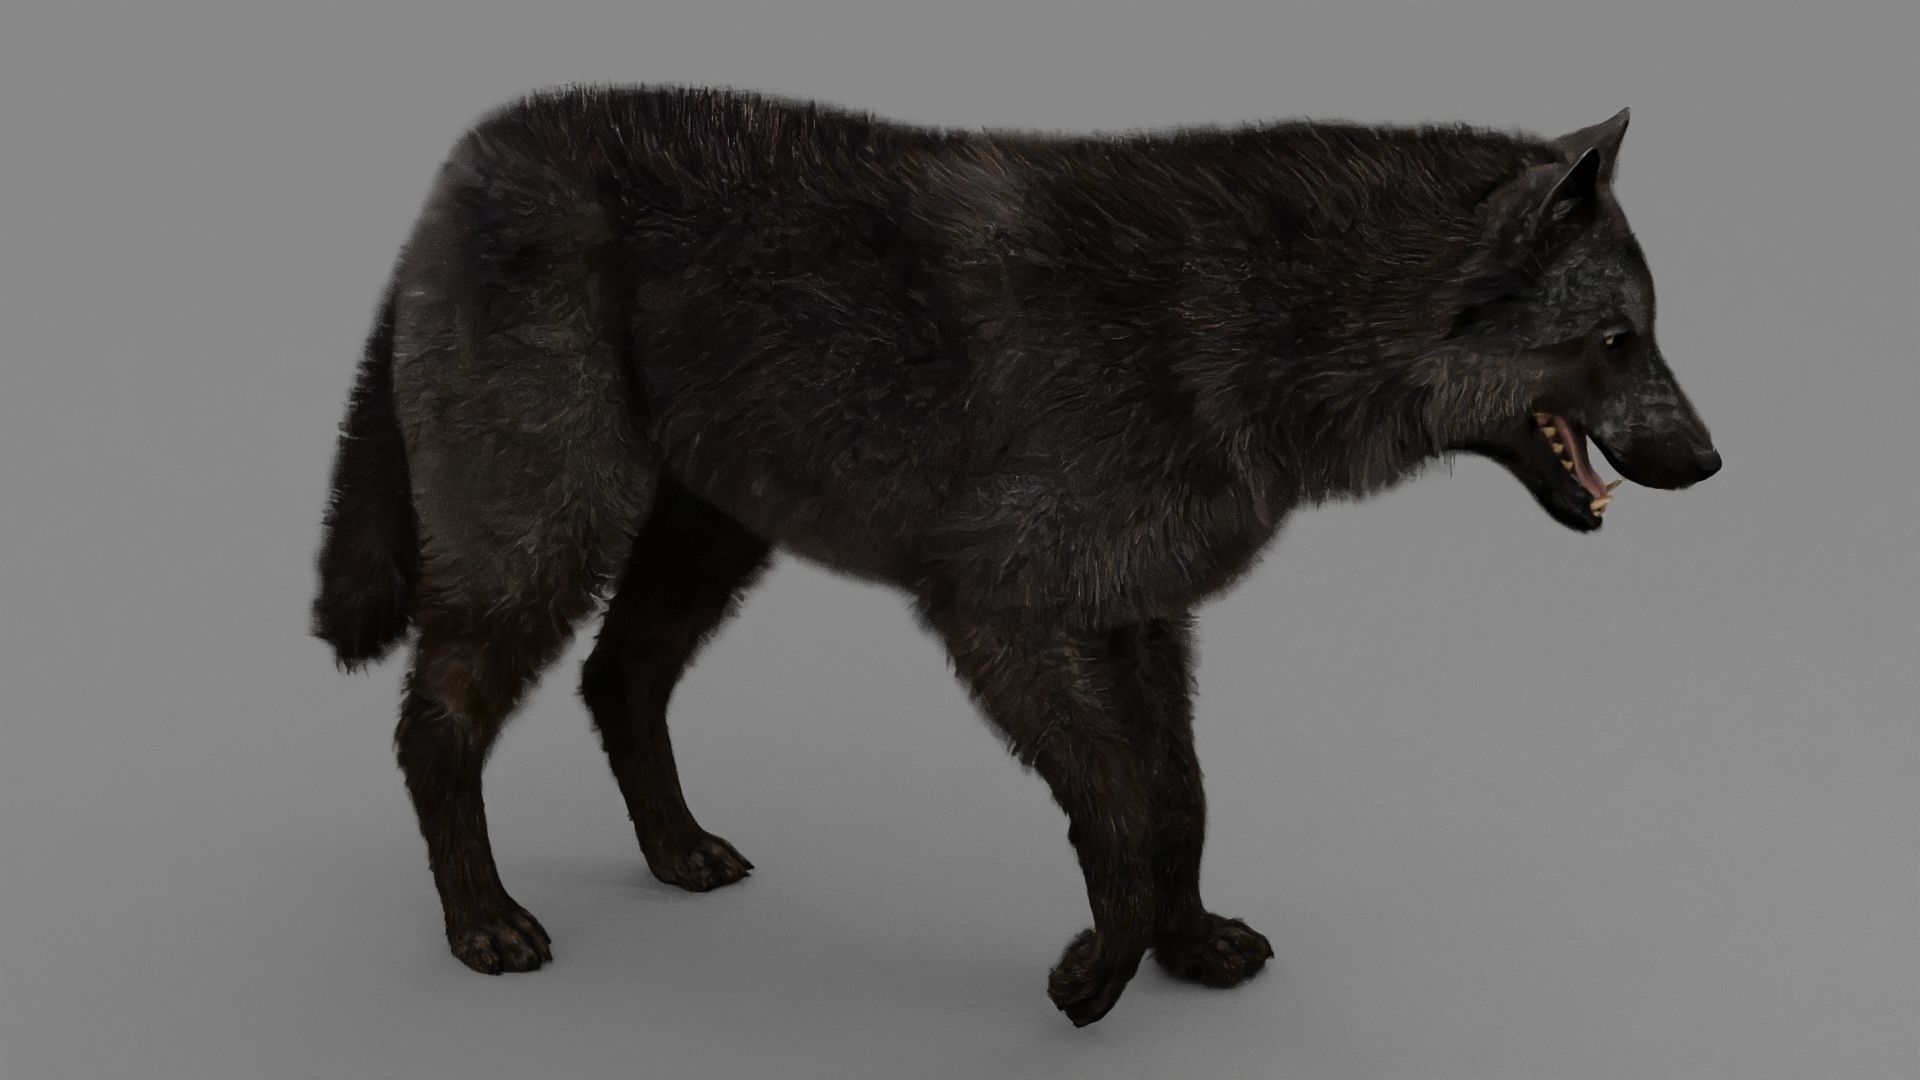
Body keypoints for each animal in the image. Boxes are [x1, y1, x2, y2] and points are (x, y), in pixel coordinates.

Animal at [312, 86, 1720, 1026]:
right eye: (1617, 339)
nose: (1711, 463)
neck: (1248, 321)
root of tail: (469, 153)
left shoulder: (1145, 618)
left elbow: (1182, 795)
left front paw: (1186, 946)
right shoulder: (1001, 617)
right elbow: (1115, 801)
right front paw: (1101, 974)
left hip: (709, 540)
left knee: (620, 680)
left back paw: (678, 855)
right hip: (548, 540)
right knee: (435, 722)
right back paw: (481, 924)